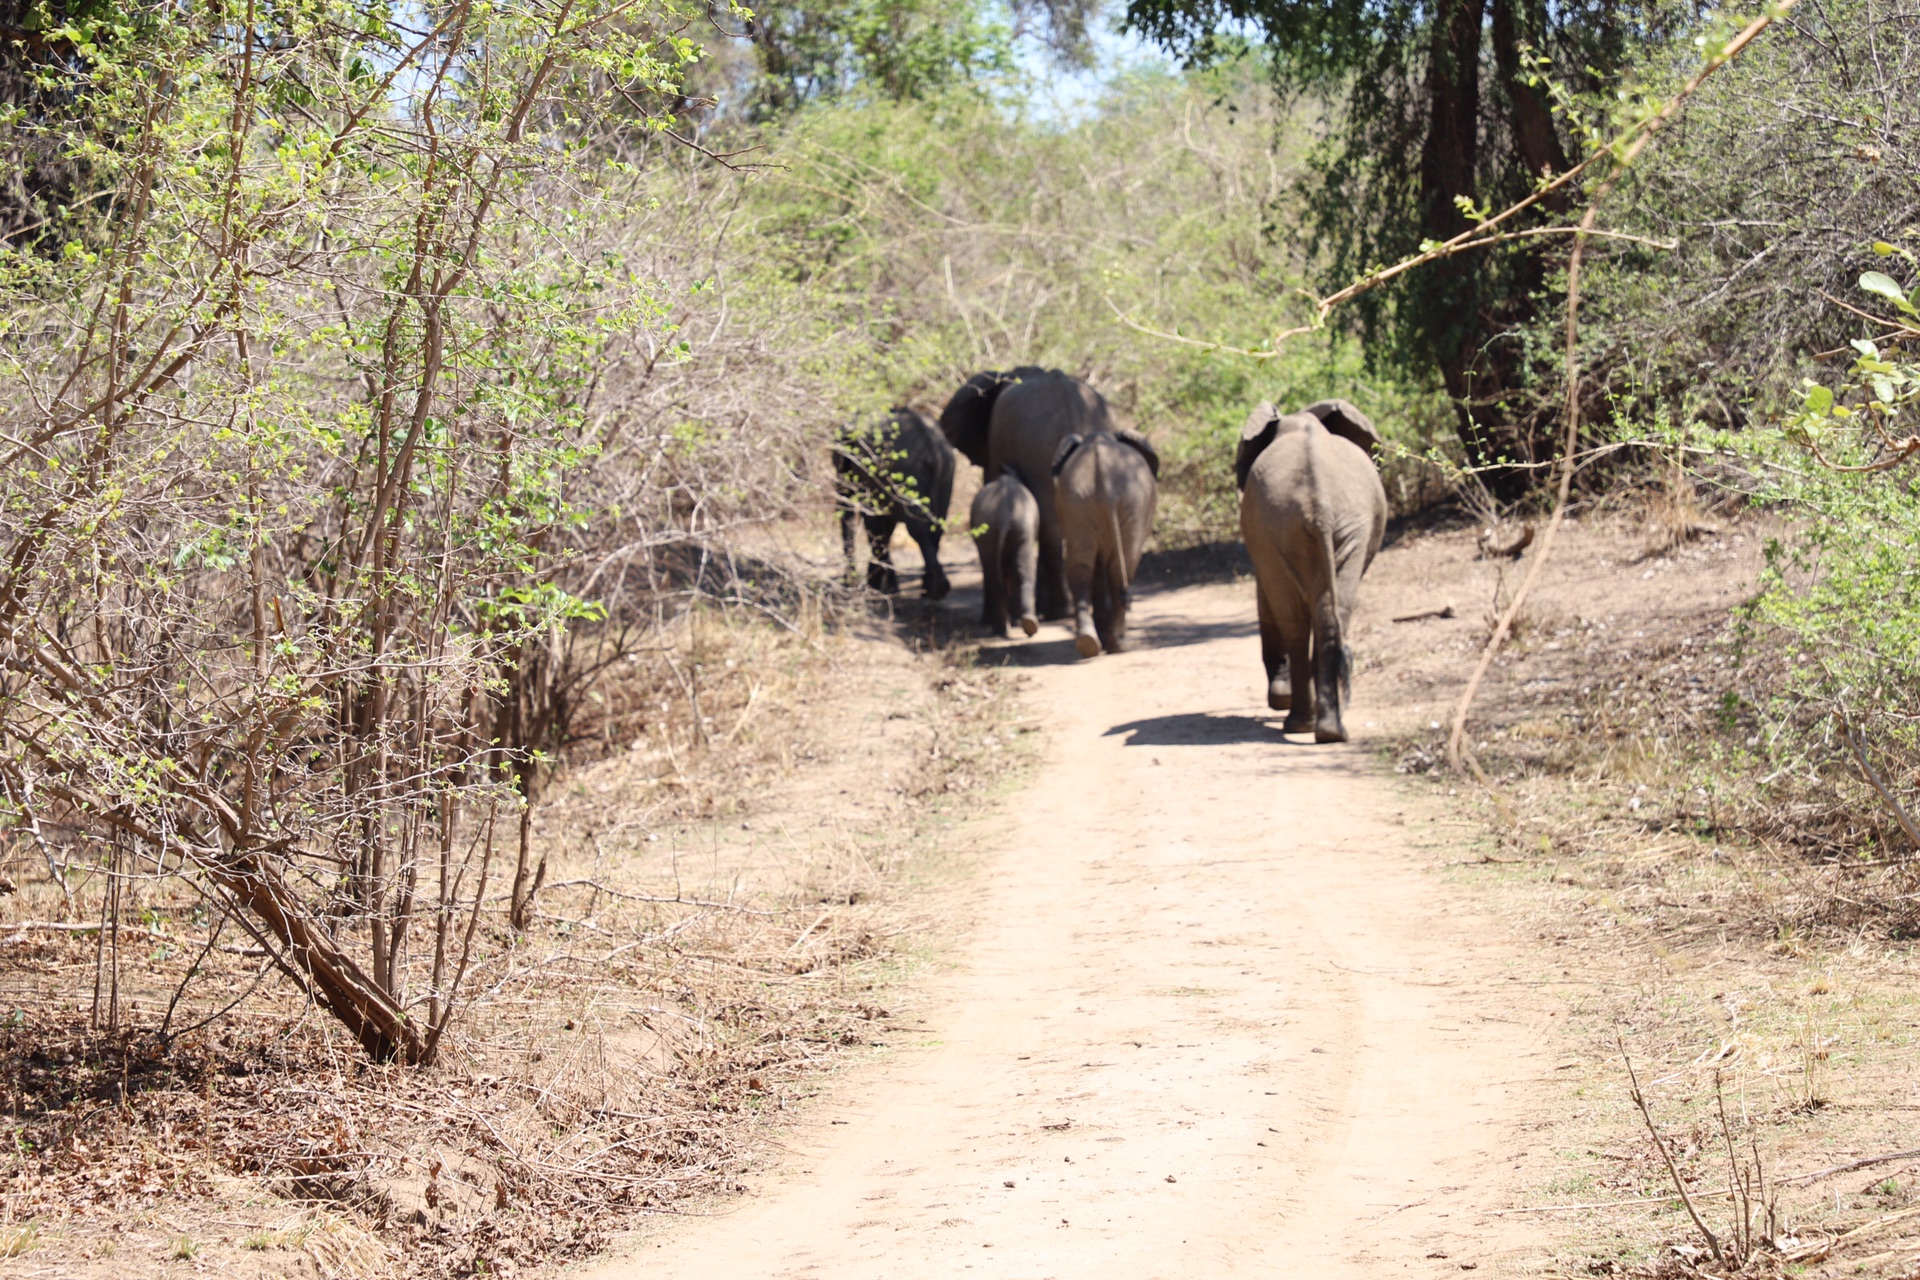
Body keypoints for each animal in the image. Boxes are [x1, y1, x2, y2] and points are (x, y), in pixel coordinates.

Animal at [840, 404, 960, 602]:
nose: (849, 584)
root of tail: (933, 448)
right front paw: (884, 588)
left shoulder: (871, 472)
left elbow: (874, 522)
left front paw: (880, 590)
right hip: (947, 472)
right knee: (936, 525)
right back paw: (930, 590)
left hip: (909, 471)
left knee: (918, 528)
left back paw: (936, 590)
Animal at [967, 462, 1044, 637]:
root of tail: (1004, 516)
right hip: (1017, 529)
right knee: (1018, 571)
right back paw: (1022, 626)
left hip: (995, 530)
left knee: (997, 574)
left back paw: (1010, 627)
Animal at [1052, 427, 1152, 656]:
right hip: (1130, 503)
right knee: (1123, 567)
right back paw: (1118, 645)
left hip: (1079, 500)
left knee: (1082, 568)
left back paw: (1088, 642)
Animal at [1236, 397, 1390, 740]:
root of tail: (1319, 505)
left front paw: (1279, 699)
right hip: (1298, 526)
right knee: (1316, 615)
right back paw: (1316, 726)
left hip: (1331, 525)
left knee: (1308, 615)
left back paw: (1314, 726)